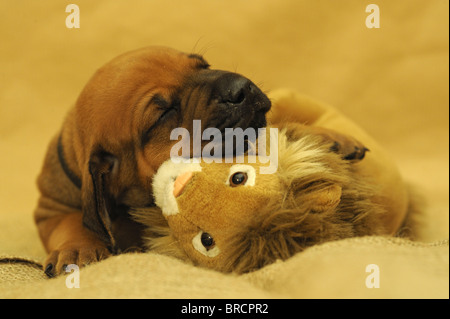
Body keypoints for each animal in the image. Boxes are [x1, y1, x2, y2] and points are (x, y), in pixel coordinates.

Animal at [34, 45, 270, 278]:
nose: (241, 88)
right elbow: (71, 222)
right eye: (164, 114)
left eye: (204, 66)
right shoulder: (51, 209)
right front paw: (77, 249)